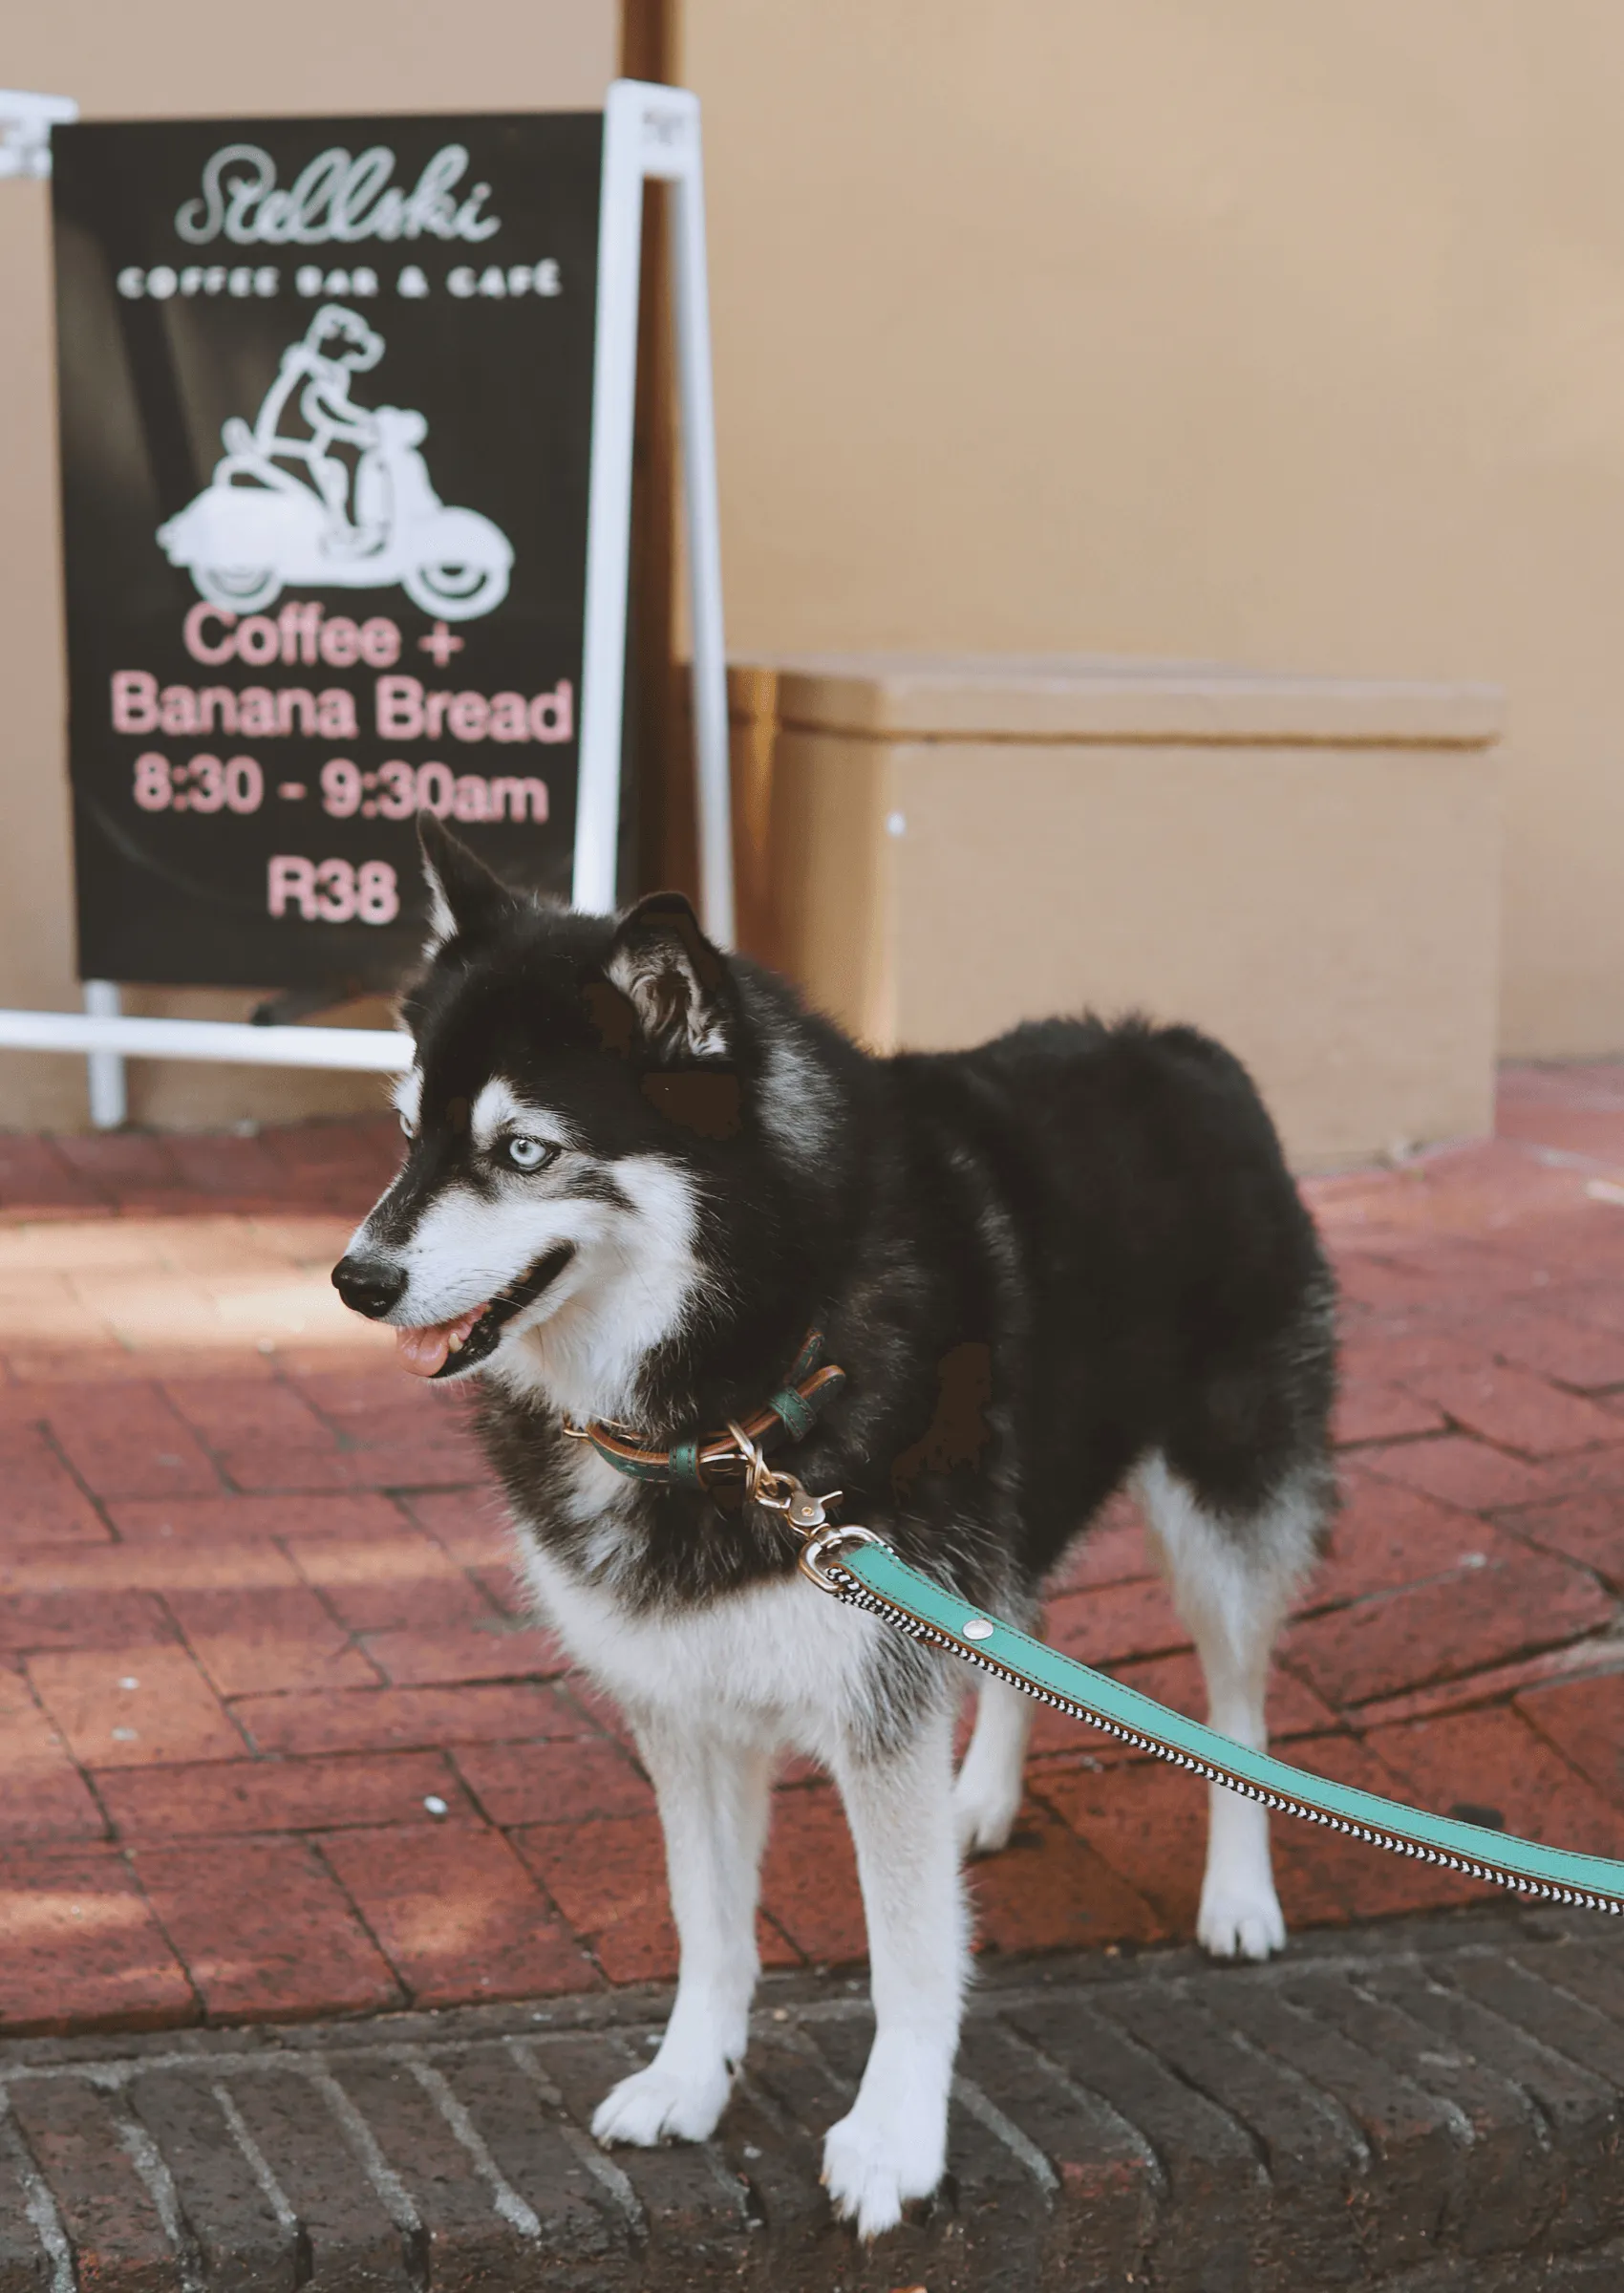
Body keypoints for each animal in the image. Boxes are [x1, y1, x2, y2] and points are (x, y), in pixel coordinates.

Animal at [330, 825, 1330, 2238]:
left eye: (523, 1152)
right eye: (410, 1132)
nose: (354, 1280)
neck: (728, 1392)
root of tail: (1177, 1045)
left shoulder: (875, 1701)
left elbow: (910, 1953)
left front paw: (895, 2137)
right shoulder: (683, 1703)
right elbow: (707, 1920)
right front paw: (690, 2076)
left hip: (1221, 1503)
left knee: (1235, 1700)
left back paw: (1238, 1891)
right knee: (1015, 1627)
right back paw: (983, 1798)